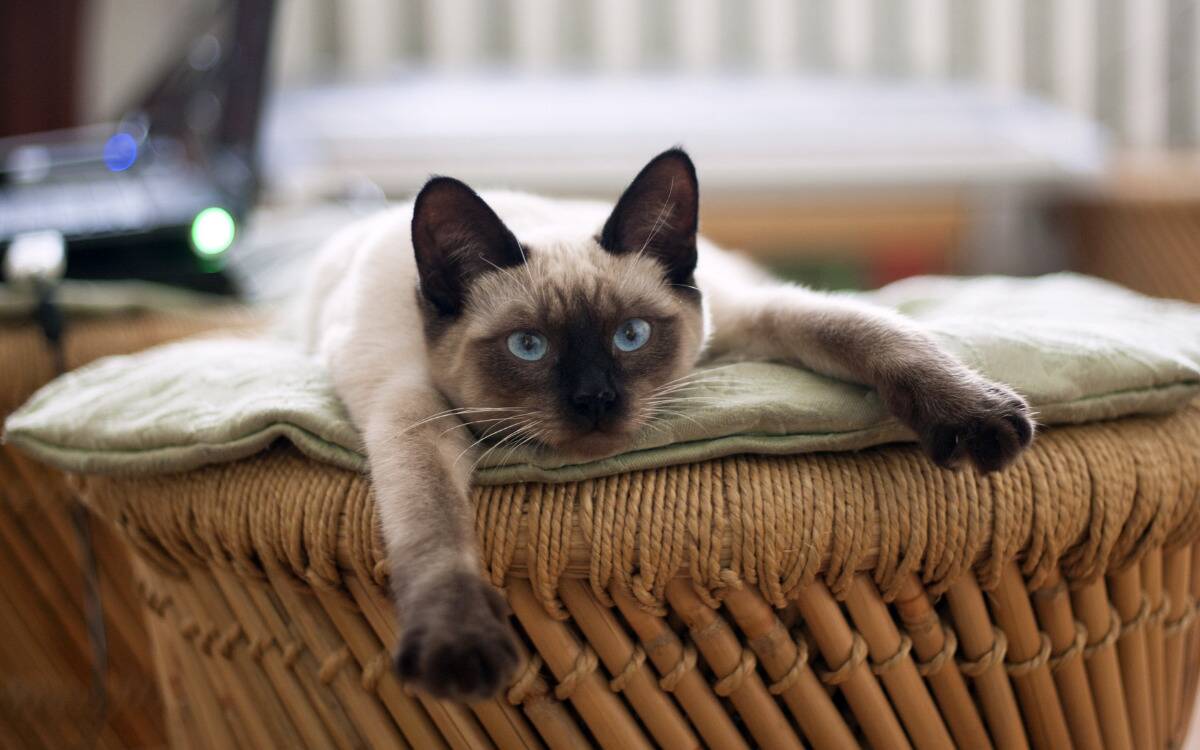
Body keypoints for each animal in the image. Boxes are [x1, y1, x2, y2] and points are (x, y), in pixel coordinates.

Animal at [300, 149, 1032, 700]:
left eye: (632, 336)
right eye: (529, 348)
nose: (595, 400)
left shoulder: (750, 319)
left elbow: (868, 332)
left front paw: (976, 415)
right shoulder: (412, 416)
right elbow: (433, 524)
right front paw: (458, 646)